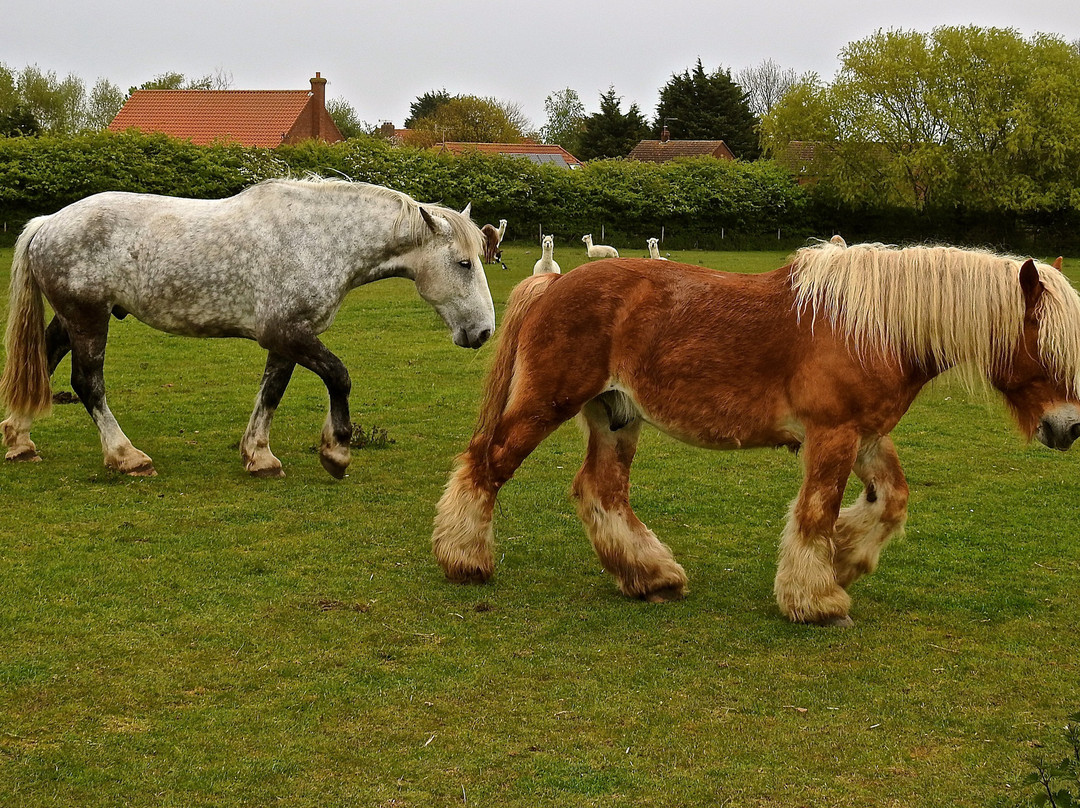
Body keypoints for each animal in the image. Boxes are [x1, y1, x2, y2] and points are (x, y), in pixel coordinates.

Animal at [434, 243, 1080, 626]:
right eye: (1048, 348)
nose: (1069, 428)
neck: (870, 326)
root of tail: (552, 285)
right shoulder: (833, 436)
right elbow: (816, 511)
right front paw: (817, 599)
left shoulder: (867, 436)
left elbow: (890, 501)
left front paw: (844, 560)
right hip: (547, 404)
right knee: (488, 464)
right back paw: (465, 560)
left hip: (615, 417)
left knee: (600, 491)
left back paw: (651, 577)